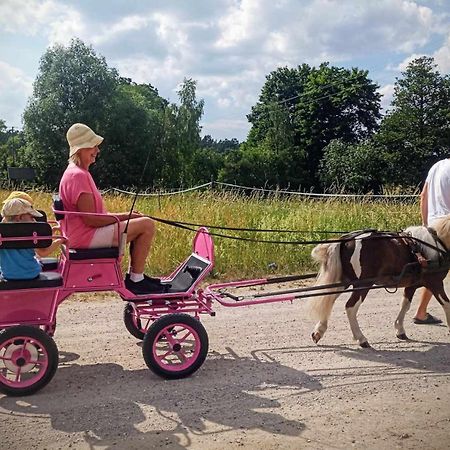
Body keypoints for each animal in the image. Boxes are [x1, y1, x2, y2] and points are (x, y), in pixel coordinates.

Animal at [308, 218, 450, 348]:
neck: (436, 245)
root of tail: (348, 240)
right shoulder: (435, 283)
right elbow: (447, 304)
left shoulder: (412, 285)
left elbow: (405, 305)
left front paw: (399, 329)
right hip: (363, 285)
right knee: (350, 307)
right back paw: (361, 338)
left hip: (345, 281)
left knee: (329, 299)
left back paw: (319, 331)